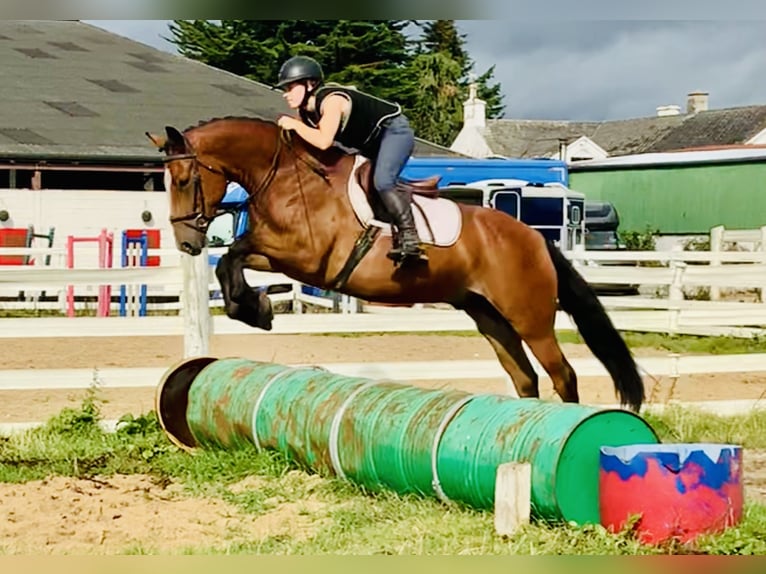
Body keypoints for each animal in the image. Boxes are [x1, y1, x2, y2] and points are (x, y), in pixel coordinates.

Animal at [146, 117, 648, 414]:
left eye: (185, 180)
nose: (187, 243)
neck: (286, 175)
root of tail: (534, 239)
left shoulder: (306, 257)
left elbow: (235, 252)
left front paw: (255, 307)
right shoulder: (278, 252)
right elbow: (232, 258)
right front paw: (249, 307)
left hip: (530, 317)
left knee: (563, 374)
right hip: (489, 315)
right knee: (524, 376)